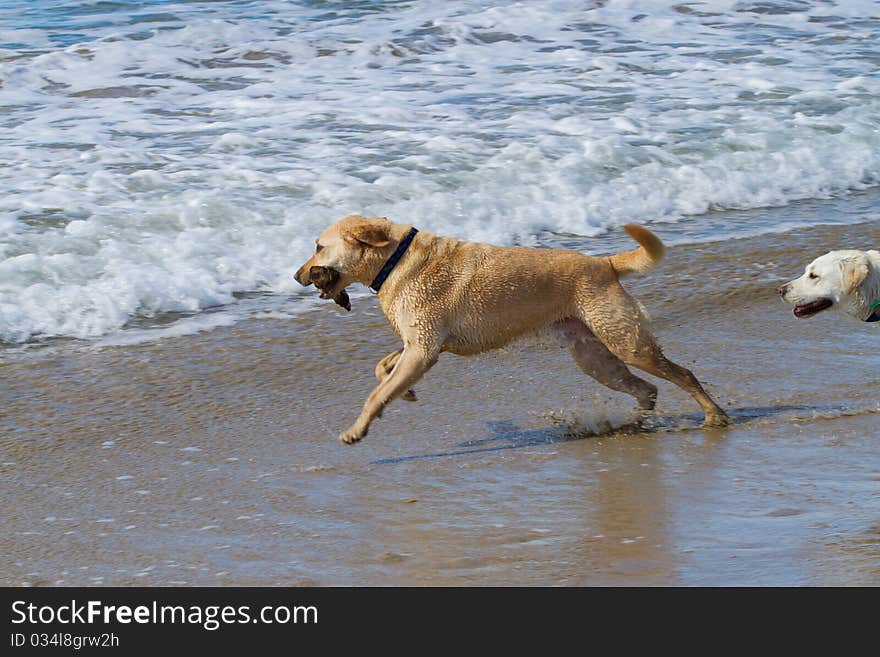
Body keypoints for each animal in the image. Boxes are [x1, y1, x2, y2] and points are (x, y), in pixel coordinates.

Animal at [296, 213, 728, 444]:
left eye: (318, 246)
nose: (298, 276)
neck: (396, 259)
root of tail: (604, 264)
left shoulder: (423, 349)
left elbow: (375, 395)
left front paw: (358, 429)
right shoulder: (419, 344)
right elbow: (382, 369)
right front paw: (405, 391)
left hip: (627, 344)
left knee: (682, 375)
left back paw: (715, 416)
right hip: (595, 358)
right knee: (647, 389)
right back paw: (635, 423)